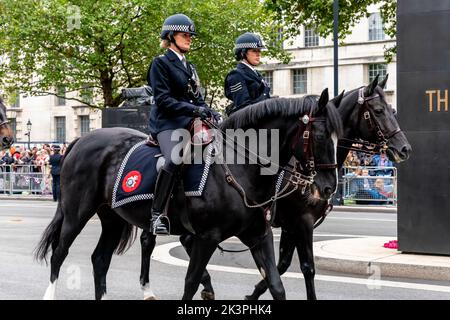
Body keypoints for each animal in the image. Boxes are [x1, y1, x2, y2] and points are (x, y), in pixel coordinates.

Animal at [36, 88, 342, 300]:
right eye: (320, 136)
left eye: (338, 137)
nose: (329, 187)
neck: (241, 167)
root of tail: (81, 140)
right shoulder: (208, 237)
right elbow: (190, 282)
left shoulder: (260, 234)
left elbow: (277, 284)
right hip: (77, 213)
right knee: (59, 253)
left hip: (112, 218)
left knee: (100, 260)